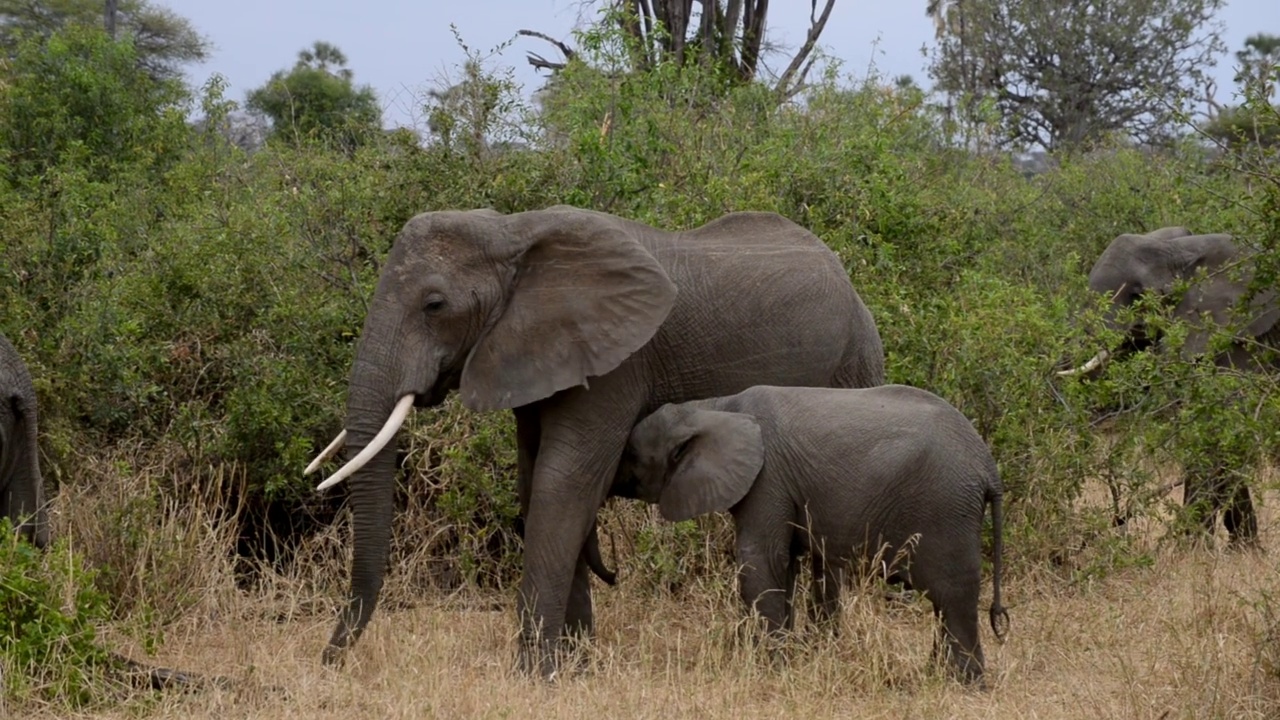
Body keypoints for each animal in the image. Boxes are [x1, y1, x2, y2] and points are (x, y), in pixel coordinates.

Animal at [307, 204, 890, 676]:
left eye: (434, 305)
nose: (329, 662)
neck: (513, 232)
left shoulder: (617, 361)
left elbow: (562, 485)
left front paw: (534, 675)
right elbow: (537, 483)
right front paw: (574, 668)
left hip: (855, 361)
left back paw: (820, 649)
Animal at [611, 384, 1008, 681]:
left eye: (631, 455)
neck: (712, 407)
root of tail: (989, 468)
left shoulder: (768, 478)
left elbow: (761, 561)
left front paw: (770, 667)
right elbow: (783, 565)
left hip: (946, 508)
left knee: (953, 595)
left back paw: (961, 682)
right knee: (944, 602)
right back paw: (936, 674)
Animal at [1059, 226, 1280, 540]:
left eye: (1138, 297)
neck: (1183, 251)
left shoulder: (1240, 335)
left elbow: (1220, 428)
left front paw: (1189, 545)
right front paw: (1241, 546)